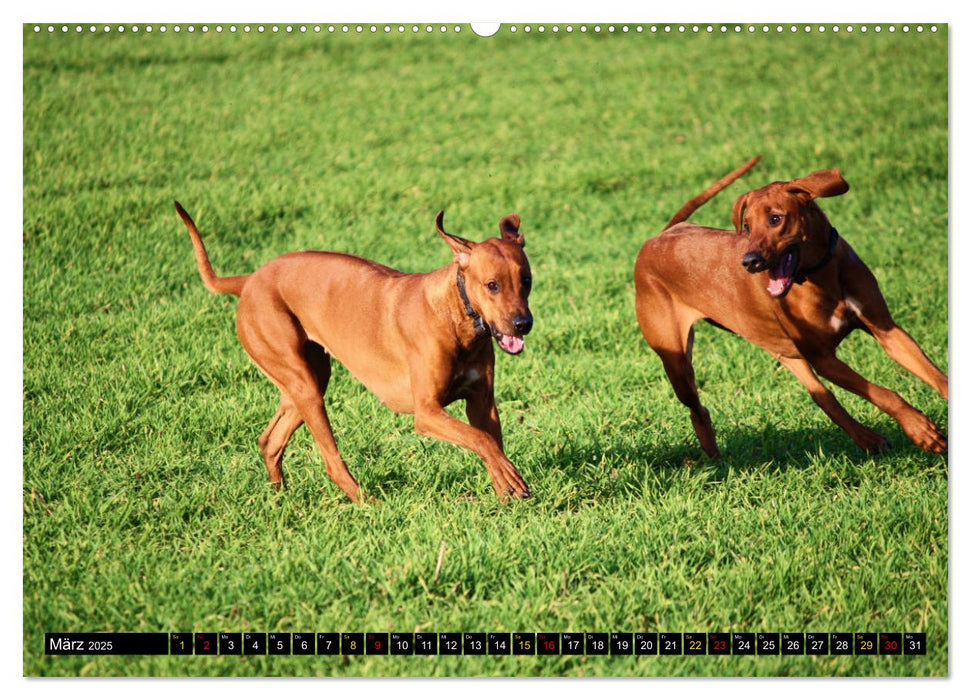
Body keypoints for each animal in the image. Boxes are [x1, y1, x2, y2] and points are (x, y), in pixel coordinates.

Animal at [178, 202, 536, 504]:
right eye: (492, 285)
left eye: (526, 280)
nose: (523, 324)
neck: (457, 314)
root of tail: (250, 279)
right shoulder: (427, 412)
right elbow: (482, 441)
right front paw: (510, 480)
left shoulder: (482, 403)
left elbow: (490, 442)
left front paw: (506, 491)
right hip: (301, 382)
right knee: (331, 462)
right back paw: (366, 502)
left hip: (308, 380)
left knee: (270, 441)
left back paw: (280, 499)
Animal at [636, 156, 948, 456]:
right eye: (747, 226)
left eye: (775, 218)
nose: (749, 261)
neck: (821, 273)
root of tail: (660, 236)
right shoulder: (823, 357)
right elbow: (882, 393)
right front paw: (920, 429)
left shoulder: (888, 332)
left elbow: (933, 374)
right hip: (676, 362)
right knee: (698, 409)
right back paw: (715, 461)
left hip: (786, 353)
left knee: (822, 397)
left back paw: (866, 439)